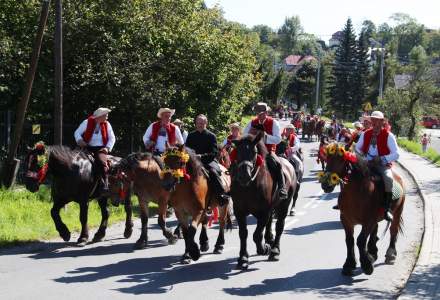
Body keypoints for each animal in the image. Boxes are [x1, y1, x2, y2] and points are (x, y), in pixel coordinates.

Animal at [229, 131, 298, 270]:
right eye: (237, 152)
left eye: (254, 152)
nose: (244, 175)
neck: (249, 186)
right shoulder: (239, 211)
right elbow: (243, 233)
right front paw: (243, 258)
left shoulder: (264, 212)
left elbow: (256, 235)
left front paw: (263, 249)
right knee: (270, 224)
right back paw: (269, 240)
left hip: (283, 206)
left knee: (279, 226)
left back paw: (275, 250)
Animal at [320, 143, 406, 276]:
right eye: (327, 159)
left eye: (341, 160)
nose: (325, 184)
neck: (357, 192)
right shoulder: (346, 220)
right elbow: (349, 240)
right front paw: (349, 264)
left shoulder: (368, 221)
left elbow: (360, 240)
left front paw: (366, 265)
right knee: (375, 230)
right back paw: (372, 251)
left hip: (397, 211)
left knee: (393, 230)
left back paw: (390, 253)